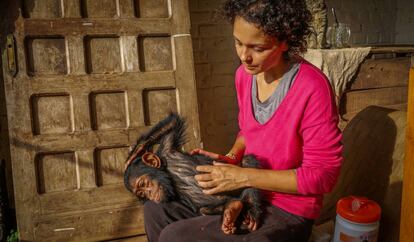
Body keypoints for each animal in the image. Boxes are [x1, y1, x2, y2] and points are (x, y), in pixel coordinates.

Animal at [123, 113, 262, 234]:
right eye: (142, 194)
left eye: (143, 183)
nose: (150, 195)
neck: (169, 173)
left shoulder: (167, 149)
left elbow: (173, 123)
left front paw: (137, 150)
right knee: (206, 209)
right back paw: (232, 209)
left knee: (247, 161)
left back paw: (251, 209)